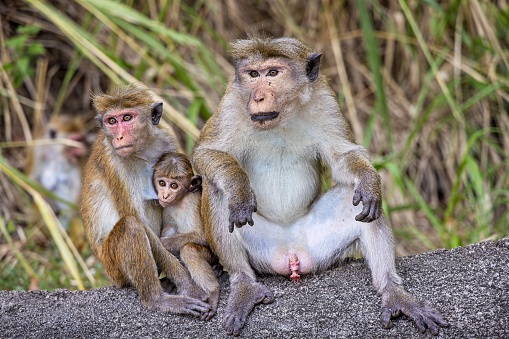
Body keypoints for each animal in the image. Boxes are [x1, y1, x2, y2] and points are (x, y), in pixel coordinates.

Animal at [81, 85, 210, 318]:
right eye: (111, 121)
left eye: (127, 117)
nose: (119, 137)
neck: (142, 150)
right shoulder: (113, 163)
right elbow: (138, 221)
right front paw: (188, 285)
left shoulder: (166, 141)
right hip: (114, 267)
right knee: (131, 226)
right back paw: (156, 299)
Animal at [153, 153, 220, 320]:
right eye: (162, 183)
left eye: (174, 186)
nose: (165, 195)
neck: (179, 200)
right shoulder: (164, 207)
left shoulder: (193, 201)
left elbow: (202, 236)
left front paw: (162, 243)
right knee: (170, 228)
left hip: (210, 256)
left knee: (189, 249)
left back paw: (213, 292)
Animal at [192, 37, 446, 338]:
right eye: (253, 74)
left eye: (272, 73)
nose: (257, 97)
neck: (282, 117)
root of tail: (291, 253)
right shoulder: (232, 103)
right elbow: (207, 153)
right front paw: (239, 187)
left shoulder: (325, 100)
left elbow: (342, 158)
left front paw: (369, 179)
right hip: (262, 251)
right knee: (217, 190)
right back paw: (244, 283)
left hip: (317, 248)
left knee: (357, 198)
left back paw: (393, 292)